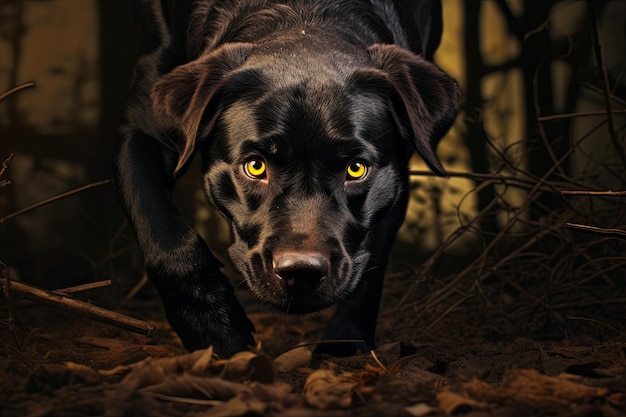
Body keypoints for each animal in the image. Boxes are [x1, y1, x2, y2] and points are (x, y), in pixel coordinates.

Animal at [114, 0, 460, 358]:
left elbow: (371, 261)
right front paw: (215, 331)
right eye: (255, 166)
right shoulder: (142, 127)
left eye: (356, 169)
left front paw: (343, 345)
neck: (304, 17)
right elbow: (165, 237)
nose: (301, 272)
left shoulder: (393, 178)